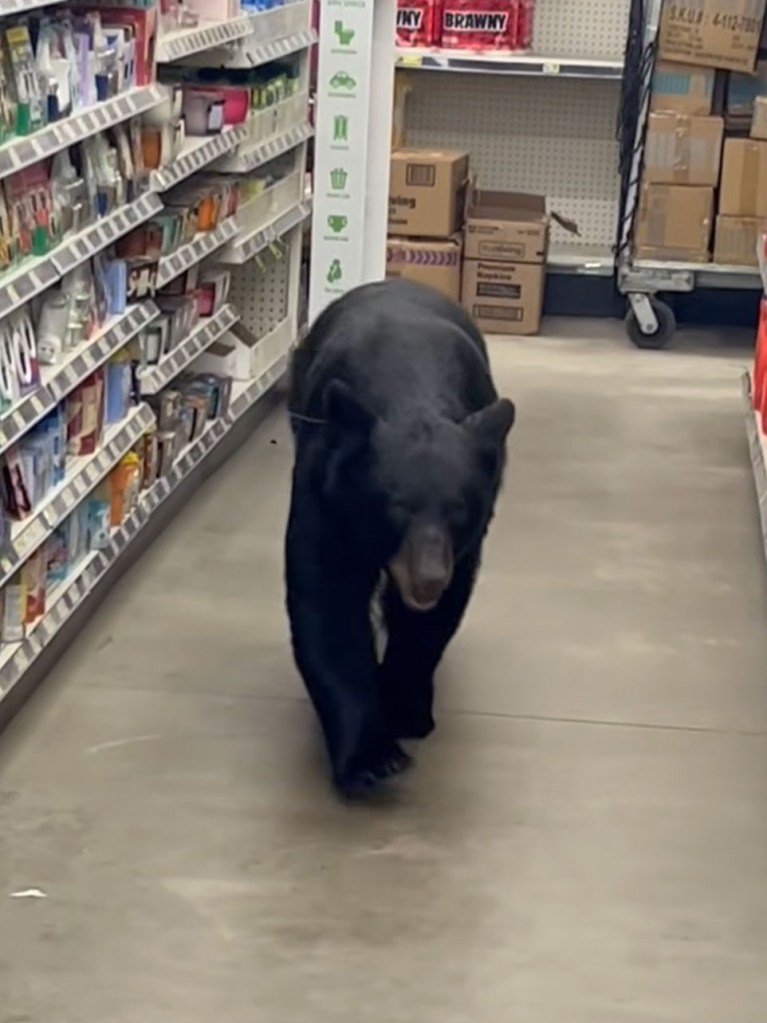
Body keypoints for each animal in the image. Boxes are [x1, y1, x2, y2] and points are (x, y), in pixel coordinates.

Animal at [285, 279, 515, 798]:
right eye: (395, 506)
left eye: (459, 510)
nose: (428, 578)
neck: (411, 394)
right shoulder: (324, 492)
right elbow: (326, 602)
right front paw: (371, 758)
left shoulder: (466, 543)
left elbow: (434, 620)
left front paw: (405, 707)